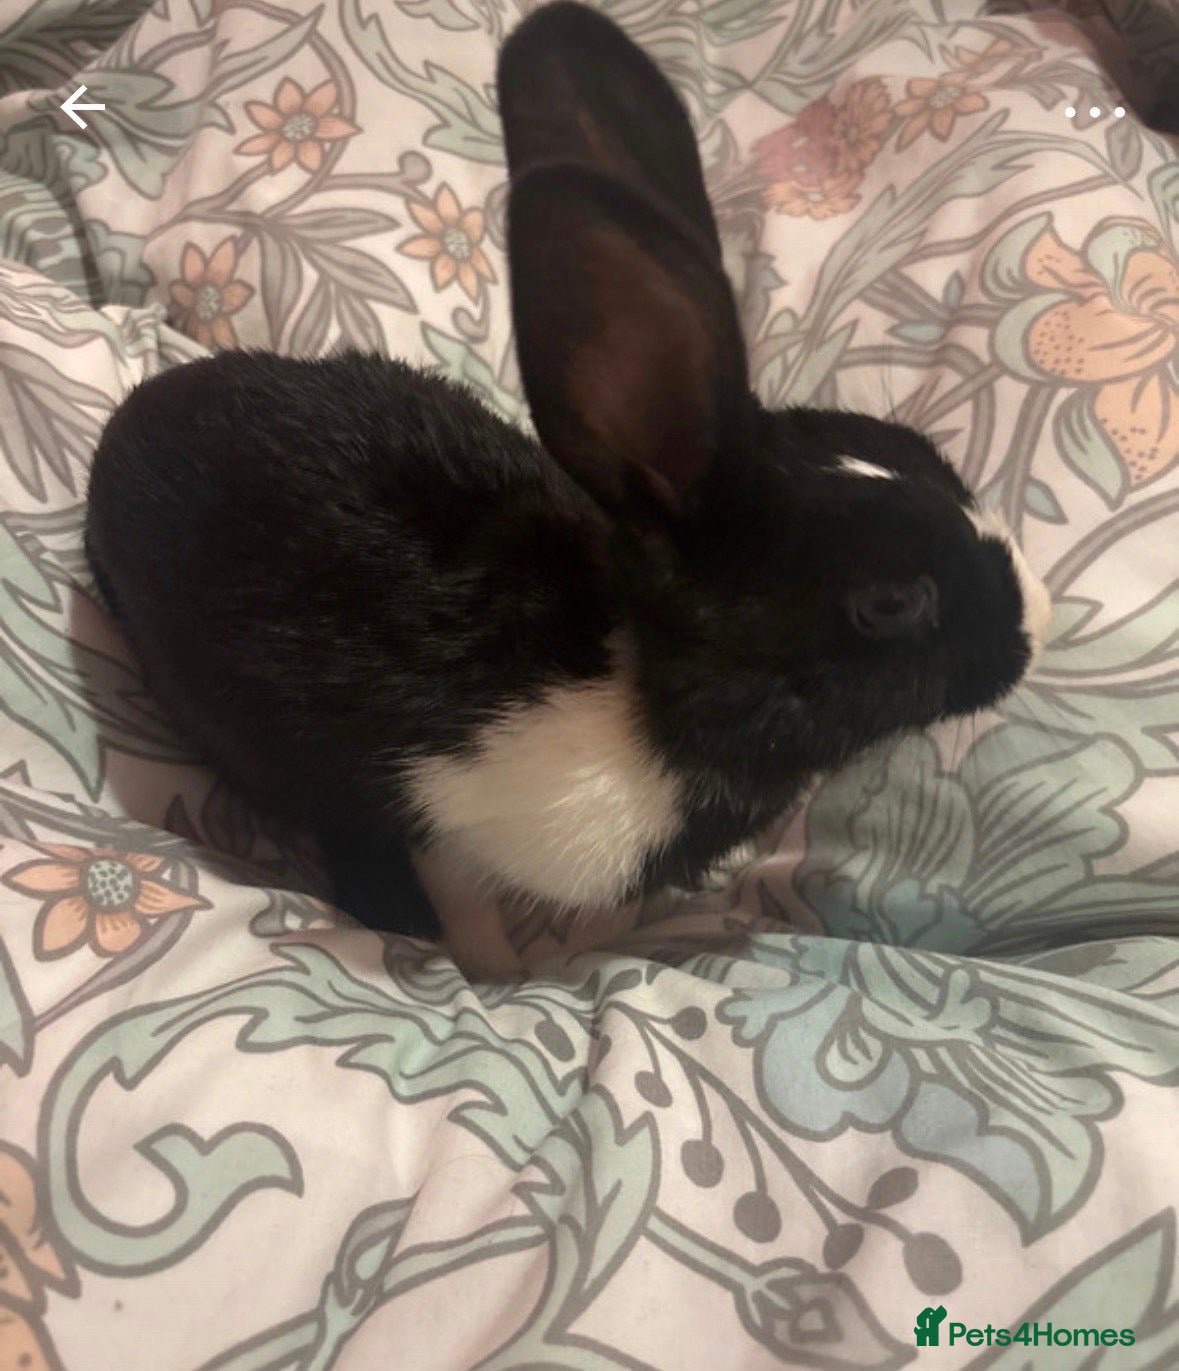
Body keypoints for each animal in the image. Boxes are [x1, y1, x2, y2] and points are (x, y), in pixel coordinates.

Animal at [85, 1, 1052, 980]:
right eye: (891, 601)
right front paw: (504, 974)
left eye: (920, 451)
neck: (642, 683)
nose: (1038, 624)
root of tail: (126, 425)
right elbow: (468, 904)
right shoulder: (447, 817)